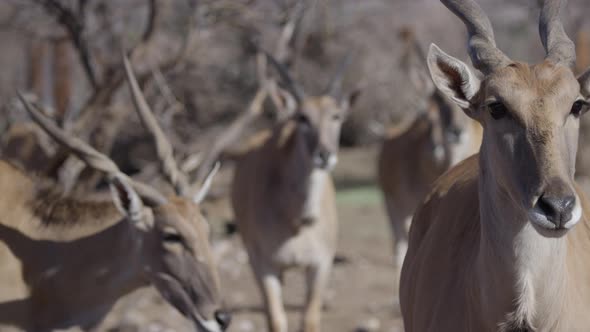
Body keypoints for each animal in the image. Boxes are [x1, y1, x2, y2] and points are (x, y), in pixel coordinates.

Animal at [231, 52, 360, 332]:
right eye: (302, 117)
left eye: (336, 115)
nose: (324, 155)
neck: (297, 220)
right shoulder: (264, 265)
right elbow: (276, 319)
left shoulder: (320, 265)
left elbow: (309, 319)